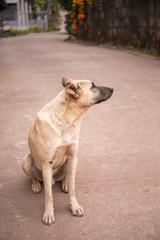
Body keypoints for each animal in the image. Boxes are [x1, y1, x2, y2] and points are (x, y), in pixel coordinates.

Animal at [21, 77, 114, 225]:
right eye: (93, 86)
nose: (112, 89)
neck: (66, 119)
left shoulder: (71, 157)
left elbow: (72, 189)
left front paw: (74, 206)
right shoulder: (46, 163)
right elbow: (49, 195)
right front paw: (49, 213)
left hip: (75, 161)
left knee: (66, 177)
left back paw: (64, 183)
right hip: (26, 160)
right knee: (35, 177)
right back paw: (36, 185)